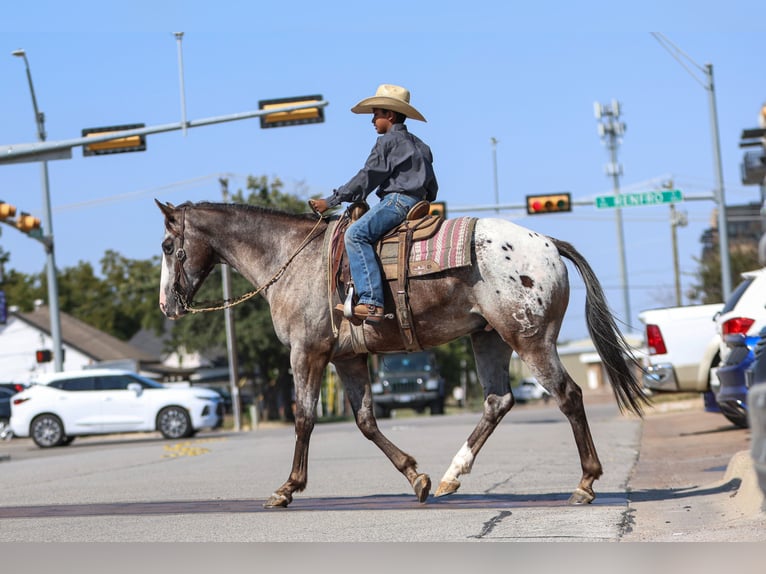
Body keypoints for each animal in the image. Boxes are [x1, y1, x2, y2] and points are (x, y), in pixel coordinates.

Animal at [159, 201, 652, 508]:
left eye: (167, 247)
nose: (167, 306)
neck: (293, 259)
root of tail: (548, 242)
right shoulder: (347, 359)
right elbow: (365, 421)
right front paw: (417, 477)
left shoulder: (307, 353)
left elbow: (304, 418)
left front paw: (287, 489)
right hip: (489, 339)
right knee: (498, 400)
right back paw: (453, 475)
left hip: (529, 339)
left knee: (568, 395)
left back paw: (585, 483)